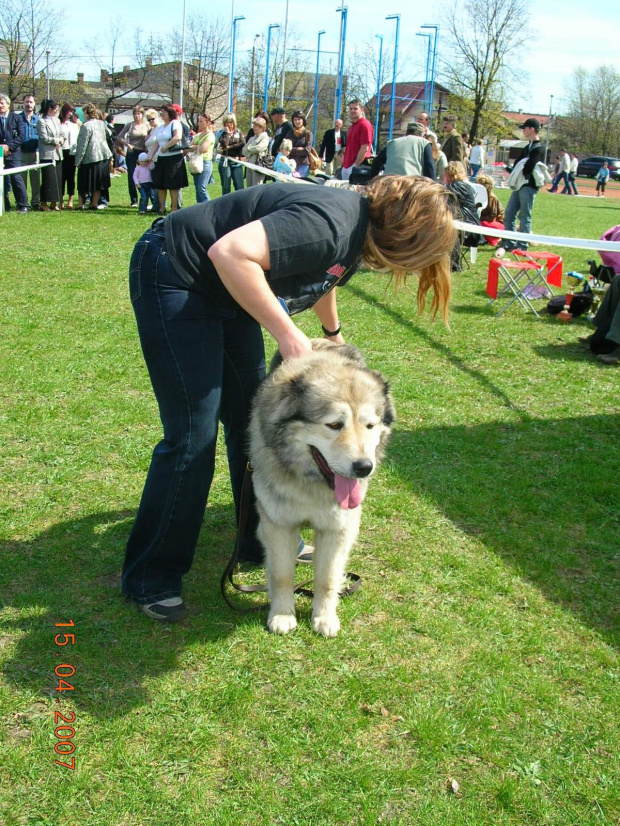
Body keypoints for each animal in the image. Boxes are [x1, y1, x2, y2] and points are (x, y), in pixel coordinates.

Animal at [246, 338, 392, 636]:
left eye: (370, 425)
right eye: (334, 424)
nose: (364, 467)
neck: (310, 482)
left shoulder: (337, 528)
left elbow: (327, 578)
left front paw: (324, 617)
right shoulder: (278, 523)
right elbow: (282, 574)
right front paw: (282, 614)